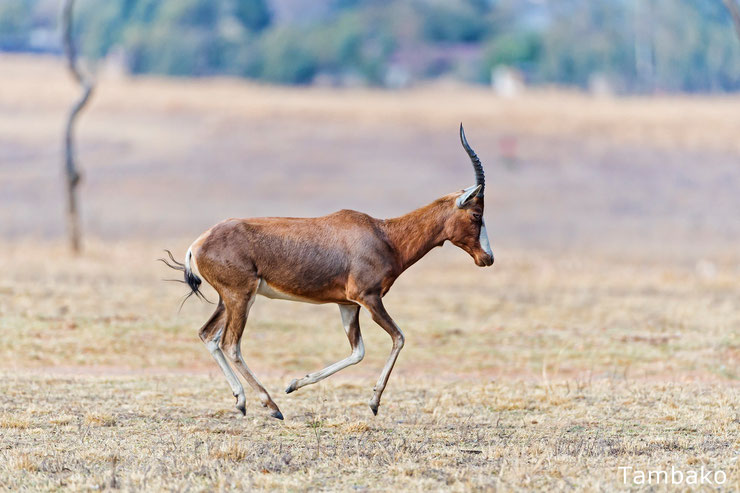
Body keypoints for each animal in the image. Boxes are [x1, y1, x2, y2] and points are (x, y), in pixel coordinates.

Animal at [165, 124, 494, 418]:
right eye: (476, 214)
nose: (487, 258)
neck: (384, 234)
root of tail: (198, 243)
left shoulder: (347, 304)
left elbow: (357, 351)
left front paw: (295, 383)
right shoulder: (369, 298)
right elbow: (398, 338)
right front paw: (373, 403)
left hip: (228, 299)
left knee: (208, 335)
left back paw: (242, 401)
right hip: (240, 297)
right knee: (231, 344)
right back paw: (271, 406)